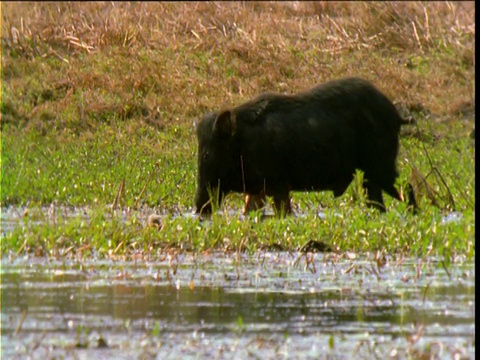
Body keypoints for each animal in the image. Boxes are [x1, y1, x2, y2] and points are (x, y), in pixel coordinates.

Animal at [193, 77, 418, 215]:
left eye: (207, 154)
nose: (199, 208)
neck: (244, 144)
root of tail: (396, 116)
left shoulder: (279, 184)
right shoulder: (258, 189)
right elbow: (250, 211)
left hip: (381, 166)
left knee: (406, 187)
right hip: (371, 176)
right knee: (378, 202)